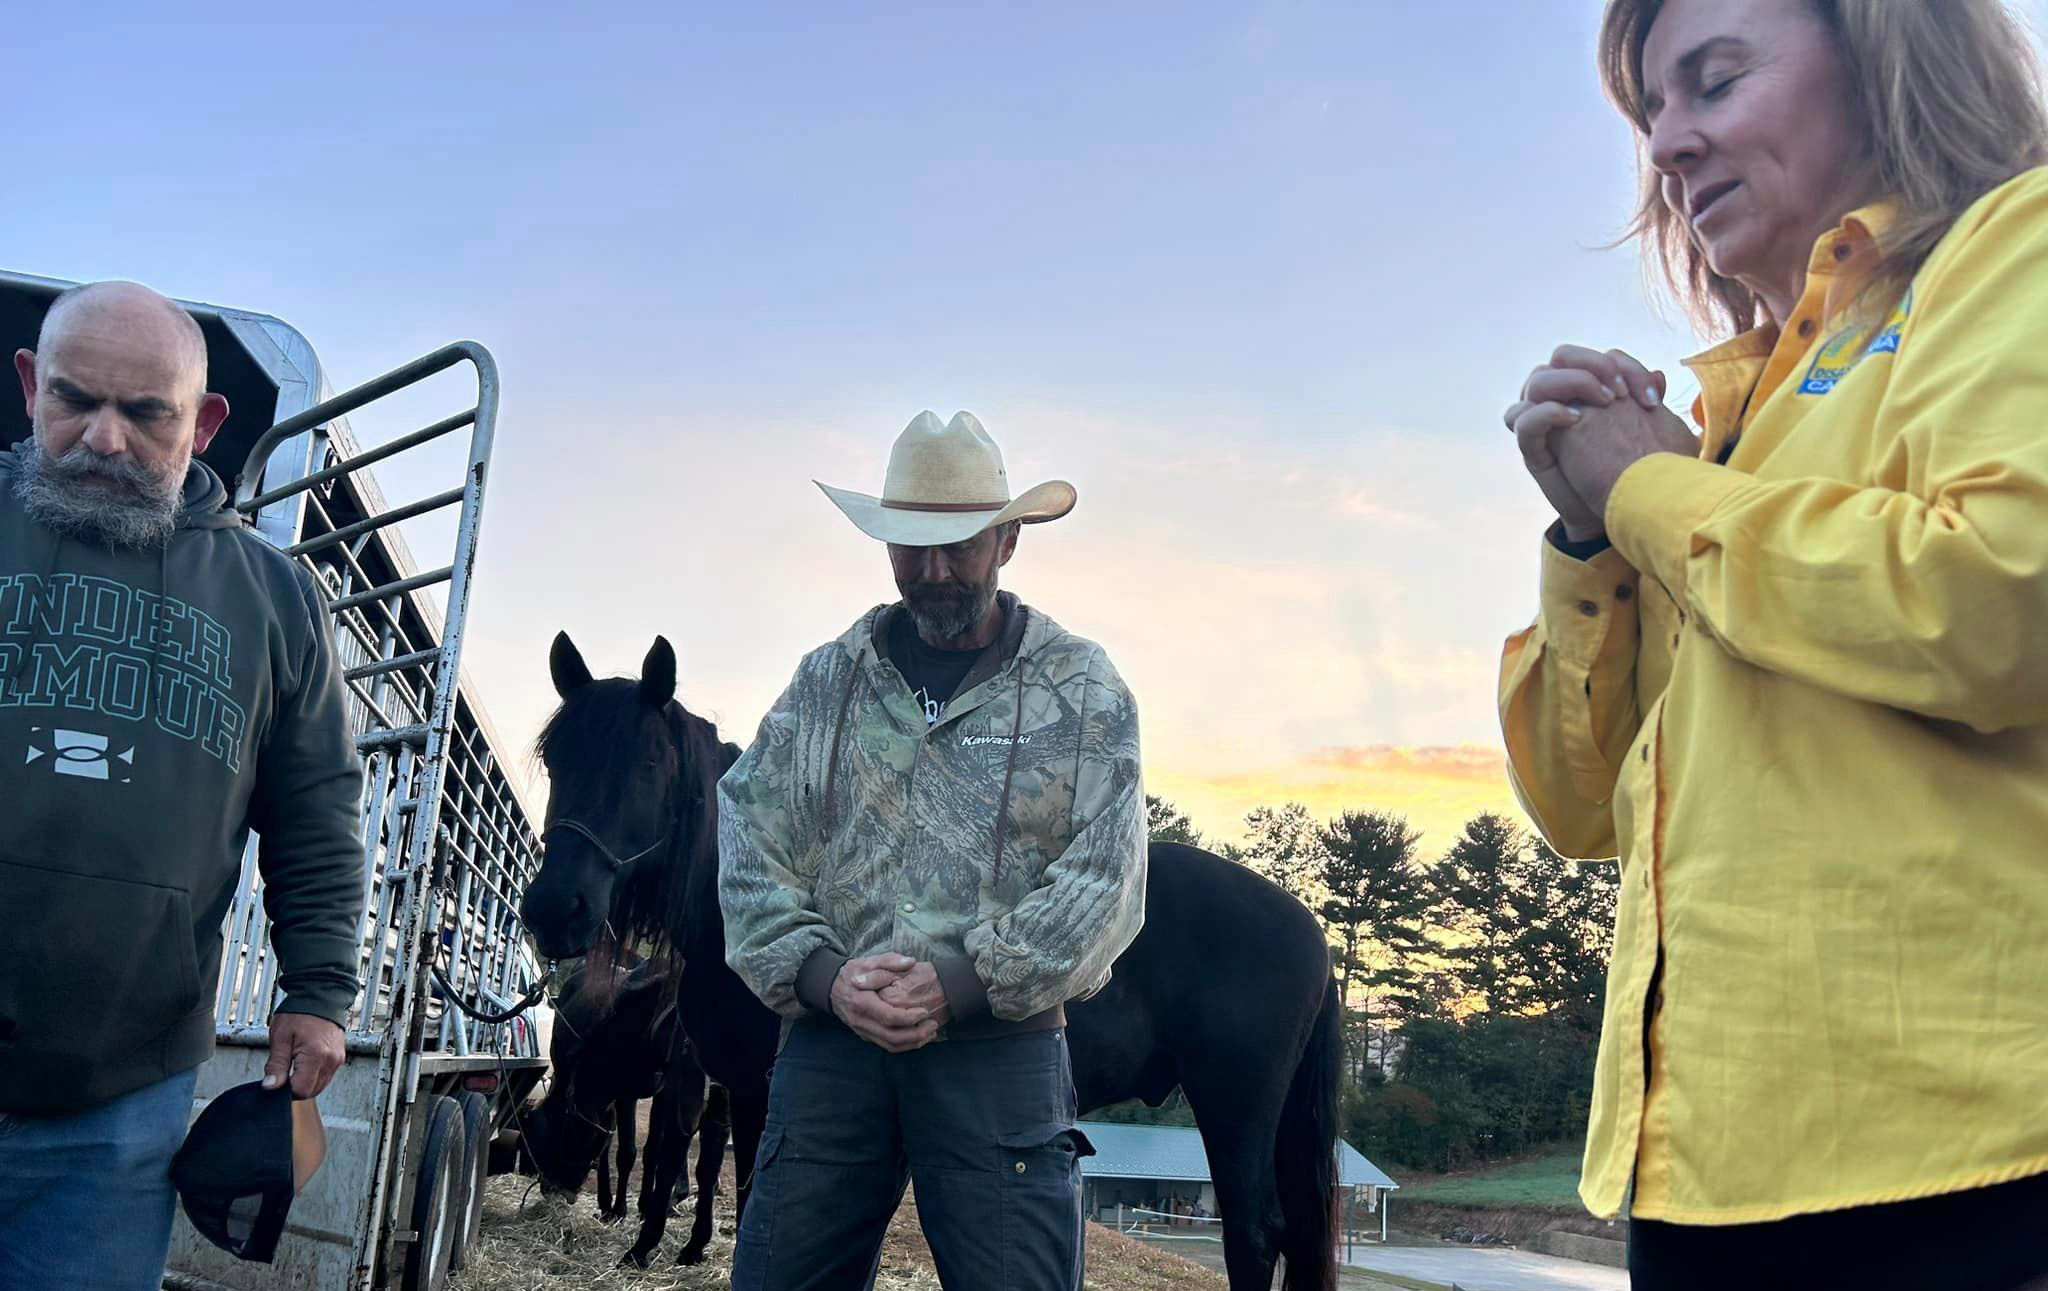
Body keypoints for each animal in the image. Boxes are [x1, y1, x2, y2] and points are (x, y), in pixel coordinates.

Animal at [520, 639, 1335, 1291]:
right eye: (557, 759)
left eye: (649, 761)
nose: (555, 908)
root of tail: (1308, 926)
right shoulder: (748, 1090)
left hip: (1232, 1102)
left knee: (1254, 1234)